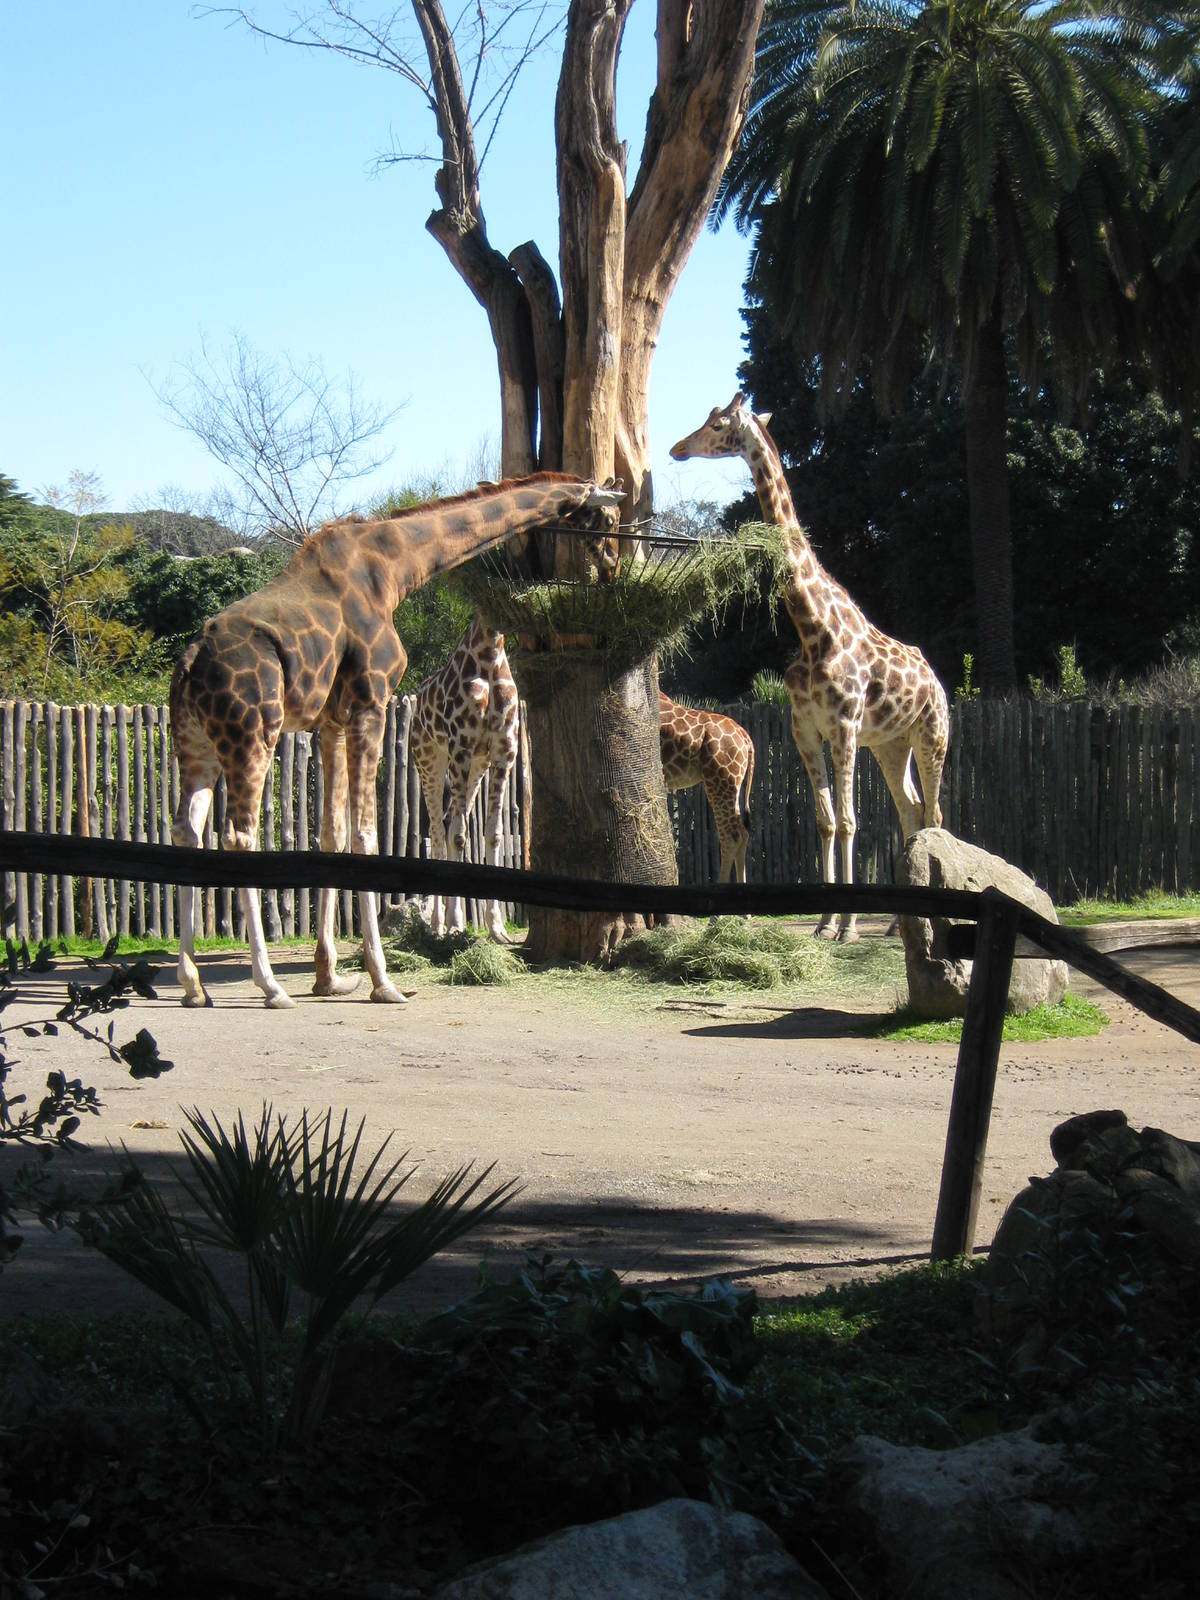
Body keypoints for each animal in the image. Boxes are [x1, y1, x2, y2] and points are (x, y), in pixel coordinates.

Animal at [412, 614, 520, 943]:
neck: (489, 655)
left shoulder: (503, 751)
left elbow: (493, 833)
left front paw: (497, 928)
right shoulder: (461, 745)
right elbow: (460, 836)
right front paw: (456, 924)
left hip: (477, 767)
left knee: (447, 824)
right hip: (429, 760)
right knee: (436, 832)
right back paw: (438, 924)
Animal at [670, 394, 949, 941]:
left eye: (717, 423)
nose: (677, 448)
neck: (812, 626)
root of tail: (937, 682)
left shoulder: (844, 727)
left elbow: (849, 820)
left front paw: (849, 926)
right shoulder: (805, 729)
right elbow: (825, 820)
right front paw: (824, 922)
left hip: (931, 735)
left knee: (934, 812)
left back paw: (925, 917)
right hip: (891, 744)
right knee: (911, 811)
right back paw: (897, 923)